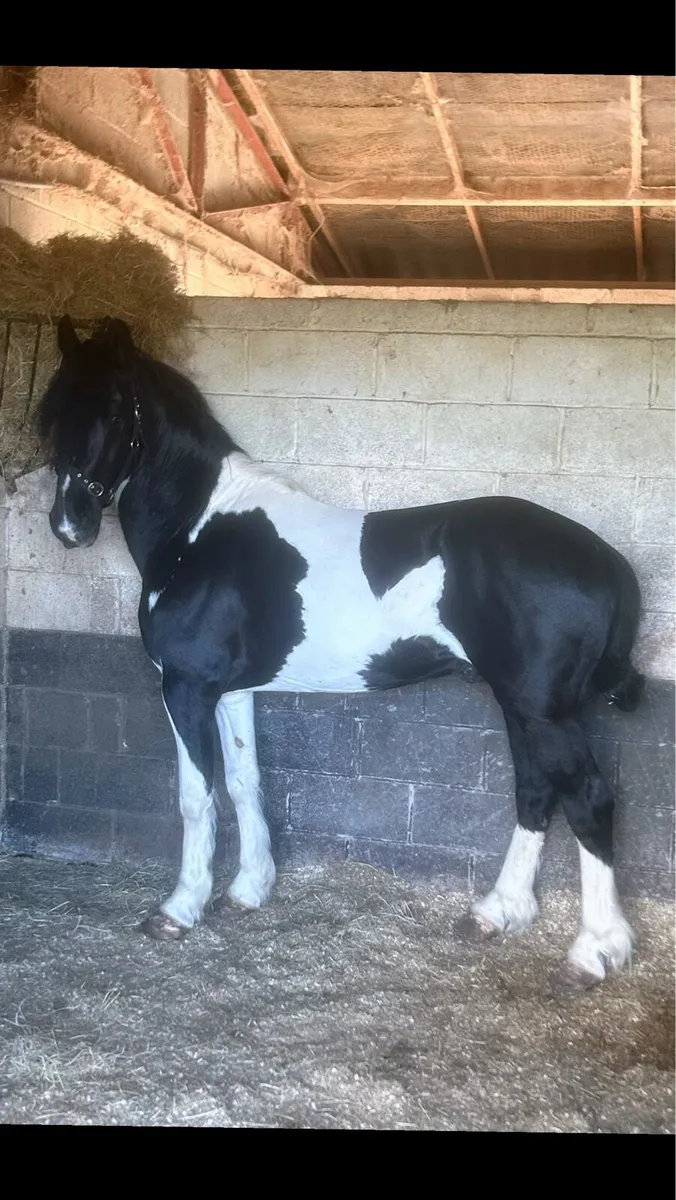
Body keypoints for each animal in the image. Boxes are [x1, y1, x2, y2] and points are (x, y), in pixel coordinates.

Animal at [38, 315, 645, 993]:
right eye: (54, 410)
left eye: (118, 410)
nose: (70, 525)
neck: (200, 530)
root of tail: (605, 560)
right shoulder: (232, 691)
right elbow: (245, 782)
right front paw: (249, 892)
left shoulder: (185, 687)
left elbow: (197, 797)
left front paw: (179, 910)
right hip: (521, 704)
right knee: (536, 791)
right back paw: (497, 913)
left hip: (545, 712)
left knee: (587, 799)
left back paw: (594, 950)